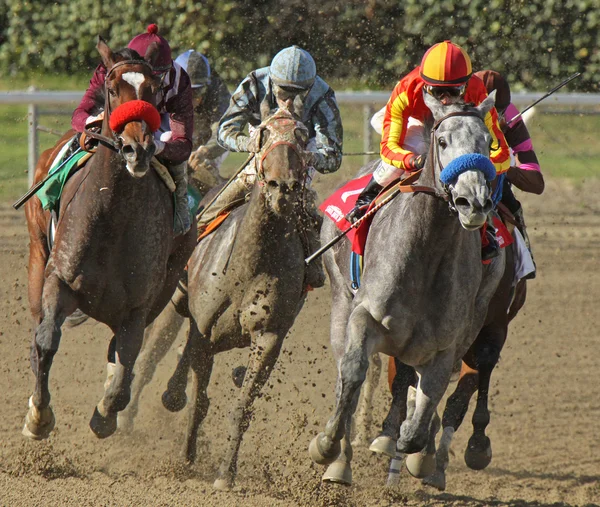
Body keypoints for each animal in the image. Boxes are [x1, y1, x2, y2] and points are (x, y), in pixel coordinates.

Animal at [22, 36, 196, 440]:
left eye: (154, 90)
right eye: (112, 89)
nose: (137, 148)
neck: (113, 219)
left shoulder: (138, 307)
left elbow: (125, 367)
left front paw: (104, 413)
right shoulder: (59, 279)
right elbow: (46, 339)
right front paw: (39, 417)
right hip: (37, 251)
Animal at [159, 110, 314, 492]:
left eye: (302, 136)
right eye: (263, 134)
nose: (282, 187)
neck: (249, 267)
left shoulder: (269, 337)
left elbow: (242, 407)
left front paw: (225, 474)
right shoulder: (206, 332)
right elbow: (199, 399)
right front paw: (186, 457)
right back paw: (173, 393)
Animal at [308, 90, 504, 484]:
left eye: (487, 142)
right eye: (442, 141)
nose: (474, 203)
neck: (425, 254)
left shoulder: (445, 346)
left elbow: (421, 415)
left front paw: (415, 450)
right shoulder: (365, 316)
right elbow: (353, 372)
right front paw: (326, 445)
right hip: (339, 298)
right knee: (346, 377)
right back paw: (340, 461)